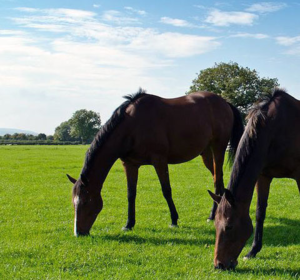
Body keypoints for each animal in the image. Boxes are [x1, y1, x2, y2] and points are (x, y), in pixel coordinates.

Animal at [68, 89, 244, 236]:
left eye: (85, 201)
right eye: (73, 202)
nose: (78, 233)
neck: (132, 126)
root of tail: (224, 102)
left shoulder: (159, 160)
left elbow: (166, 190)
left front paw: (174, 220)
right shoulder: (129, 164)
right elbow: (131, 194)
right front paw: (129, 224)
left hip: (218, 148)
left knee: (217, 180)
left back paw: (212, 215)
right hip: (206, 153)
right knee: (218, 179)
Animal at [210, 89, 300, 270]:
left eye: (229, 227)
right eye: (215, 224)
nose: (219, 265)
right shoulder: (263, 176)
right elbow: (260, 212)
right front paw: (253, 250)